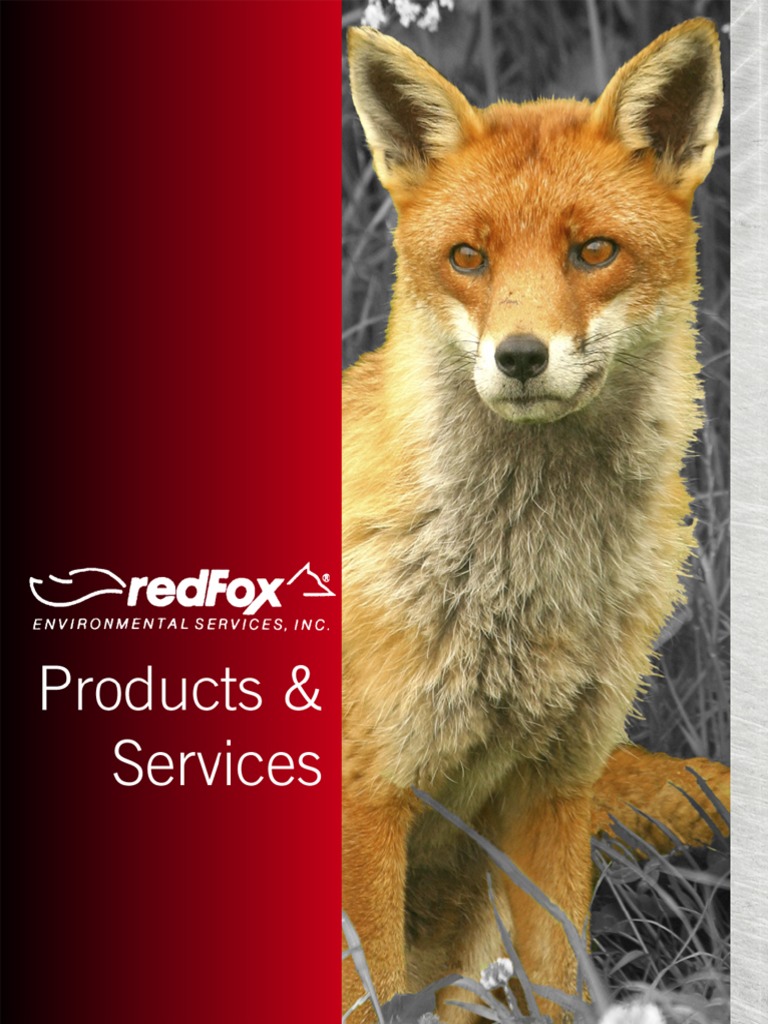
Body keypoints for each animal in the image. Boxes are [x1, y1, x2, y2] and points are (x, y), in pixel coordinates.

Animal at [343, 18, 728, 1024]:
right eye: (467, 258)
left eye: (593, 252)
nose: (520, 356)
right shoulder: (370, 799)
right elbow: (366, 996)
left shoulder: (555, 786)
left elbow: (565, 983)